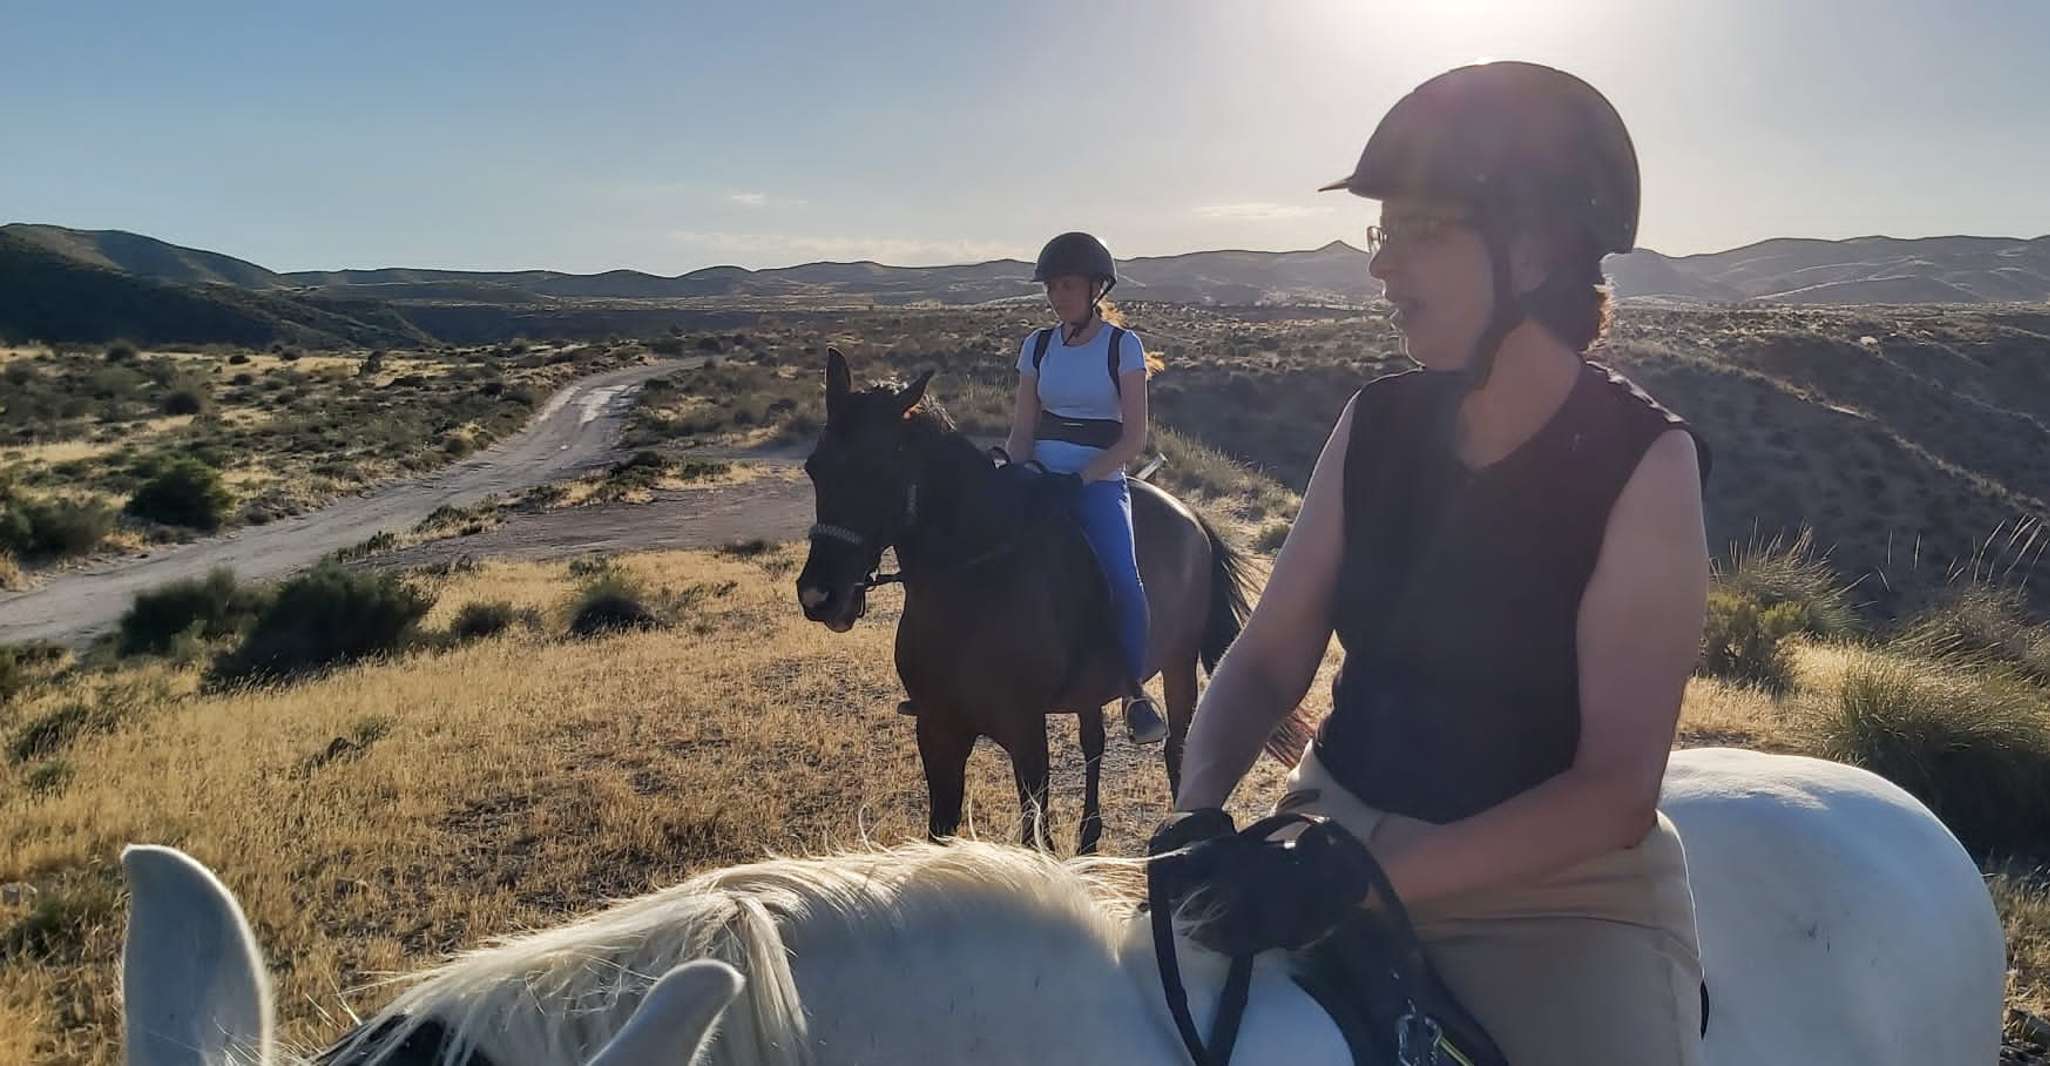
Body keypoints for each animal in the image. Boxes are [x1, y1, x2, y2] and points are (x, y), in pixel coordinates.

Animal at [791, 354, 1303, 852]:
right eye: (814, 468)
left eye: (880, 469)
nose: (820, 596)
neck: (972, 585)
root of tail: (1190, 515)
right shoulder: (937, 730)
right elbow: (941, 835)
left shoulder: (1026, 733)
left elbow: (1034, 837)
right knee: (1094, 742)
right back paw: (1090, 834)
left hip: (1178, 665)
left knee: (1176, 748)